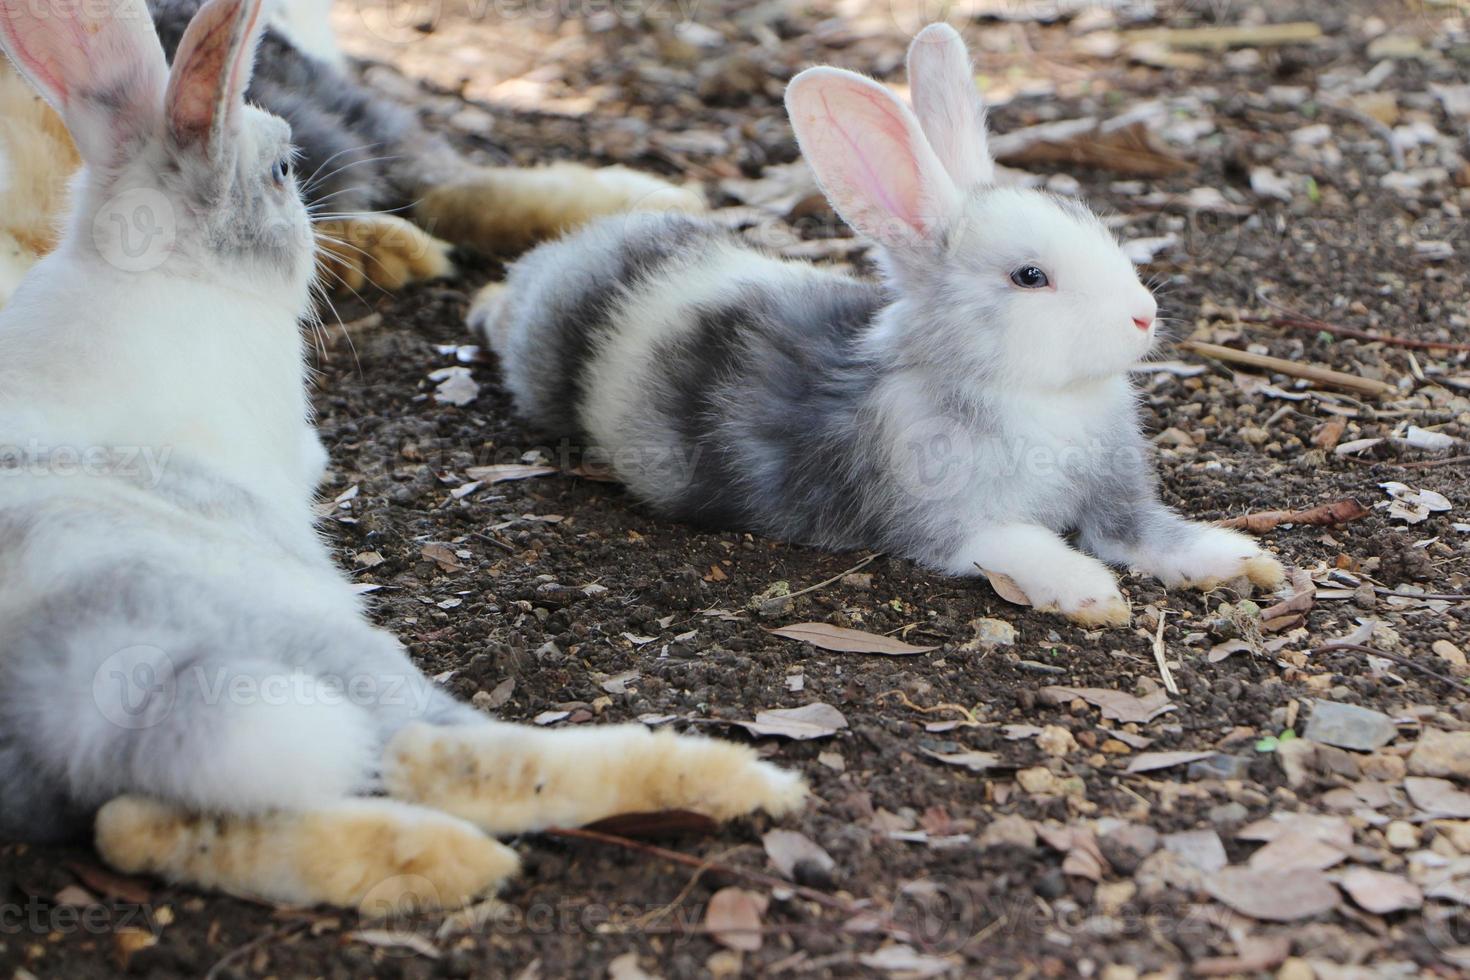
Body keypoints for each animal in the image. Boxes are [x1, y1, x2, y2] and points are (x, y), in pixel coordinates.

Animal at [0, 0, 805, 910]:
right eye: (282, 169)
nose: (317, 223)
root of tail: (69, 696)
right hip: (336, 661)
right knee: (450, 757)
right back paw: (732, 783)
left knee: (137, 824)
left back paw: (425, 862)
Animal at [473, 28, 1287, 637]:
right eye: (1030, 277)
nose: (1143, 315)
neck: (1035, 396)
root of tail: (562, 256)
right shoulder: (954, 525)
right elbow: (1028, 545)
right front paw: (1091, 595)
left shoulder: (1118, 502)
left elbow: (1157, 534)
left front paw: (1246, 562)